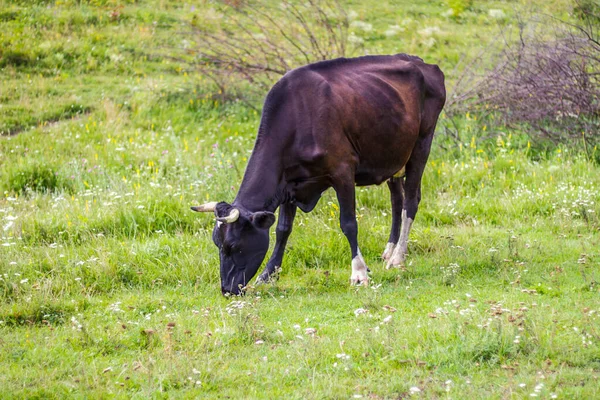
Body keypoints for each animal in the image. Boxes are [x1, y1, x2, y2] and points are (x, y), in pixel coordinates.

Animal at [192, 54, 446, 294]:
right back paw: (389, 250)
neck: (297, 118)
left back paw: (397, 258)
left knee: (410, 201)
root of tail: (419, 62)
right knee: (397, 200)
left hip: (421, 145)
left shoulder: (343, 171)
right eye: (217, 244)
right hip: (393, 155)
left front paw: (359, 273)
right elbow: (283, 230)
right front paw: (268, 275)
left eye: (234, 246)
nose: (227, 289)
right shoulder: (288, 184)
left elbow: (349, 223)